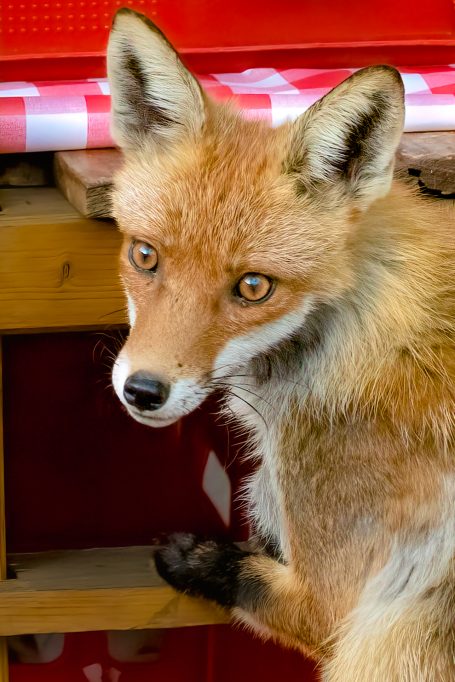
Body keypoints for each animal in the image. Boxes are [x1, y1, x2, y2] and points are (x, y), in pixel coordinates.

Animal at [108, 6, 455, 680]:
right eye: (145, 256)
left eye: (253, 287)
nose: (143, 390)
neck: (354, 330)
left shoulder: (335, 605)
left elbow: (249, 575)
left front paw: (190, 557)